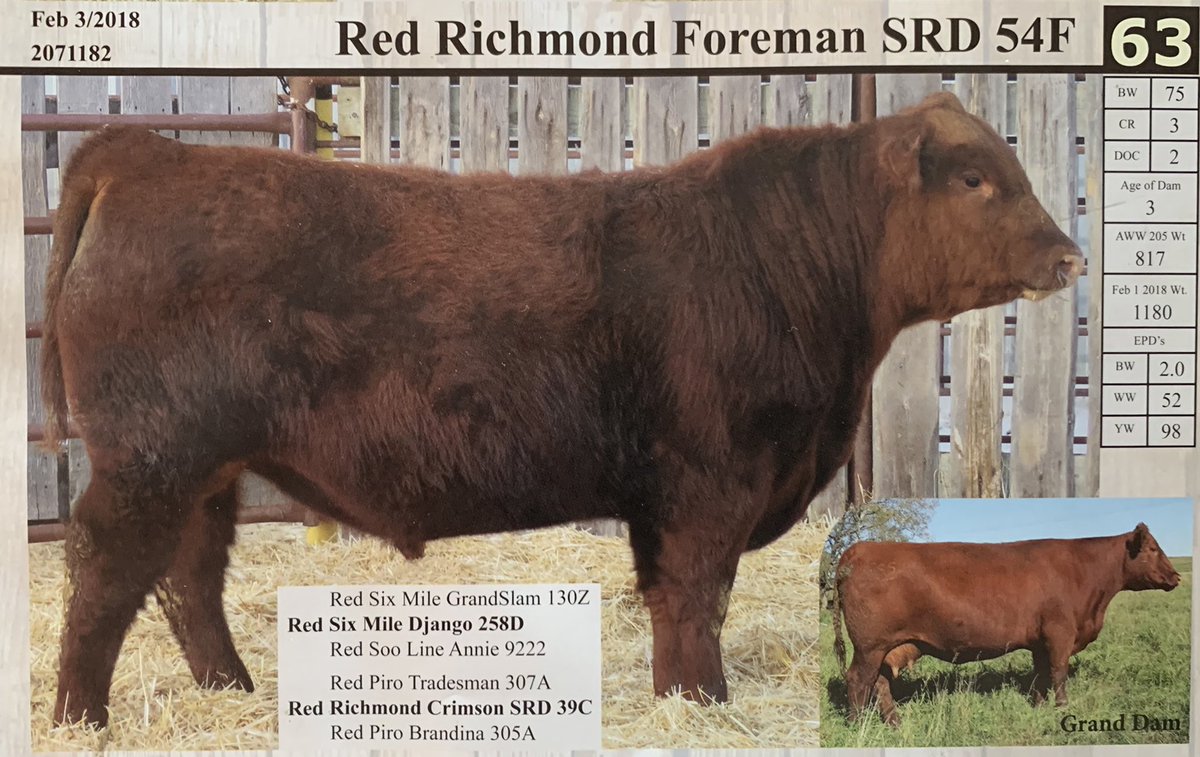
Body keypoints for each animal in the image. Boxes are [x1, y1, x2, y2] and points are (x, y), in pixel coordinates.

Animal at [41, 91, 1083, 727]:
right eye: (976, 179)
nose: (1071, 255)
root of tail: (146, 152)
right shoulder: (710, 480)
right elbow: (697, 594)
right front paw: (704, 702)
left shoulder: (667, 495)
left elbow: (670, 596)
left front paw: (679, 699)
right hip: (151, 456)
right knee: (105, 567)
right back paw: (80, 716)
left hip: (201, 468)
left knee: (187, 577)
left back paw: (232, 688)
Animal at [831, 523, 1181, 726]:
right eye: (1152, 549)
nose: (1177, 576)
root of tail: (859, 549)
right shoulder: (1060, 634)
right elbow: (1059, 673)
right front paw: (1062, 709)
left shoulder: (1040, 640)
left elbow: (1040, 675)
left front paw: (1039, 708)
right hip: (869, 646)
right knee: (858, 680)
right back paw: (856, 725)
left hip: (884, 648)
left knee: (879, 683)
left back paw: (895, 722)